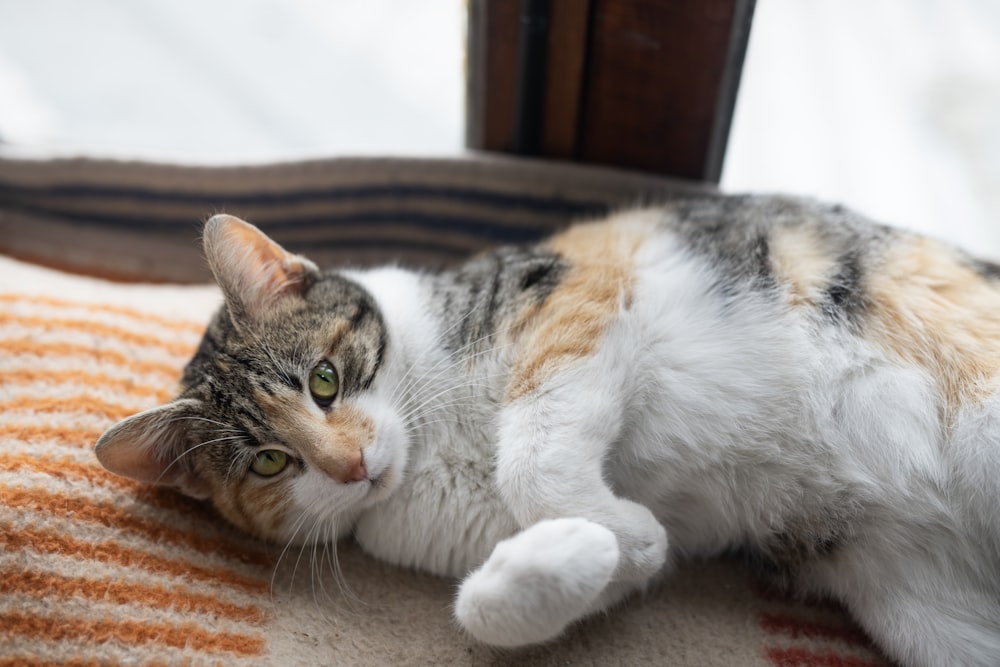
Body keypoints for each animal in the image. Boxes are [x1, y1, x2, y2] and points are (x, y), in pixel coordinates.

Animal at [95, 198, 1000, 667]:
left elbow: (531, 456)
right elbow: (509, 598)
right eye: (271, 463)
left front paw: (612, 526)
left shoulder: (577, 292)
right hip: (923, 612)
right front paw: (604, 545)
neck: (433, 442)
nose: (350, 465)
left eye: (324, 378)